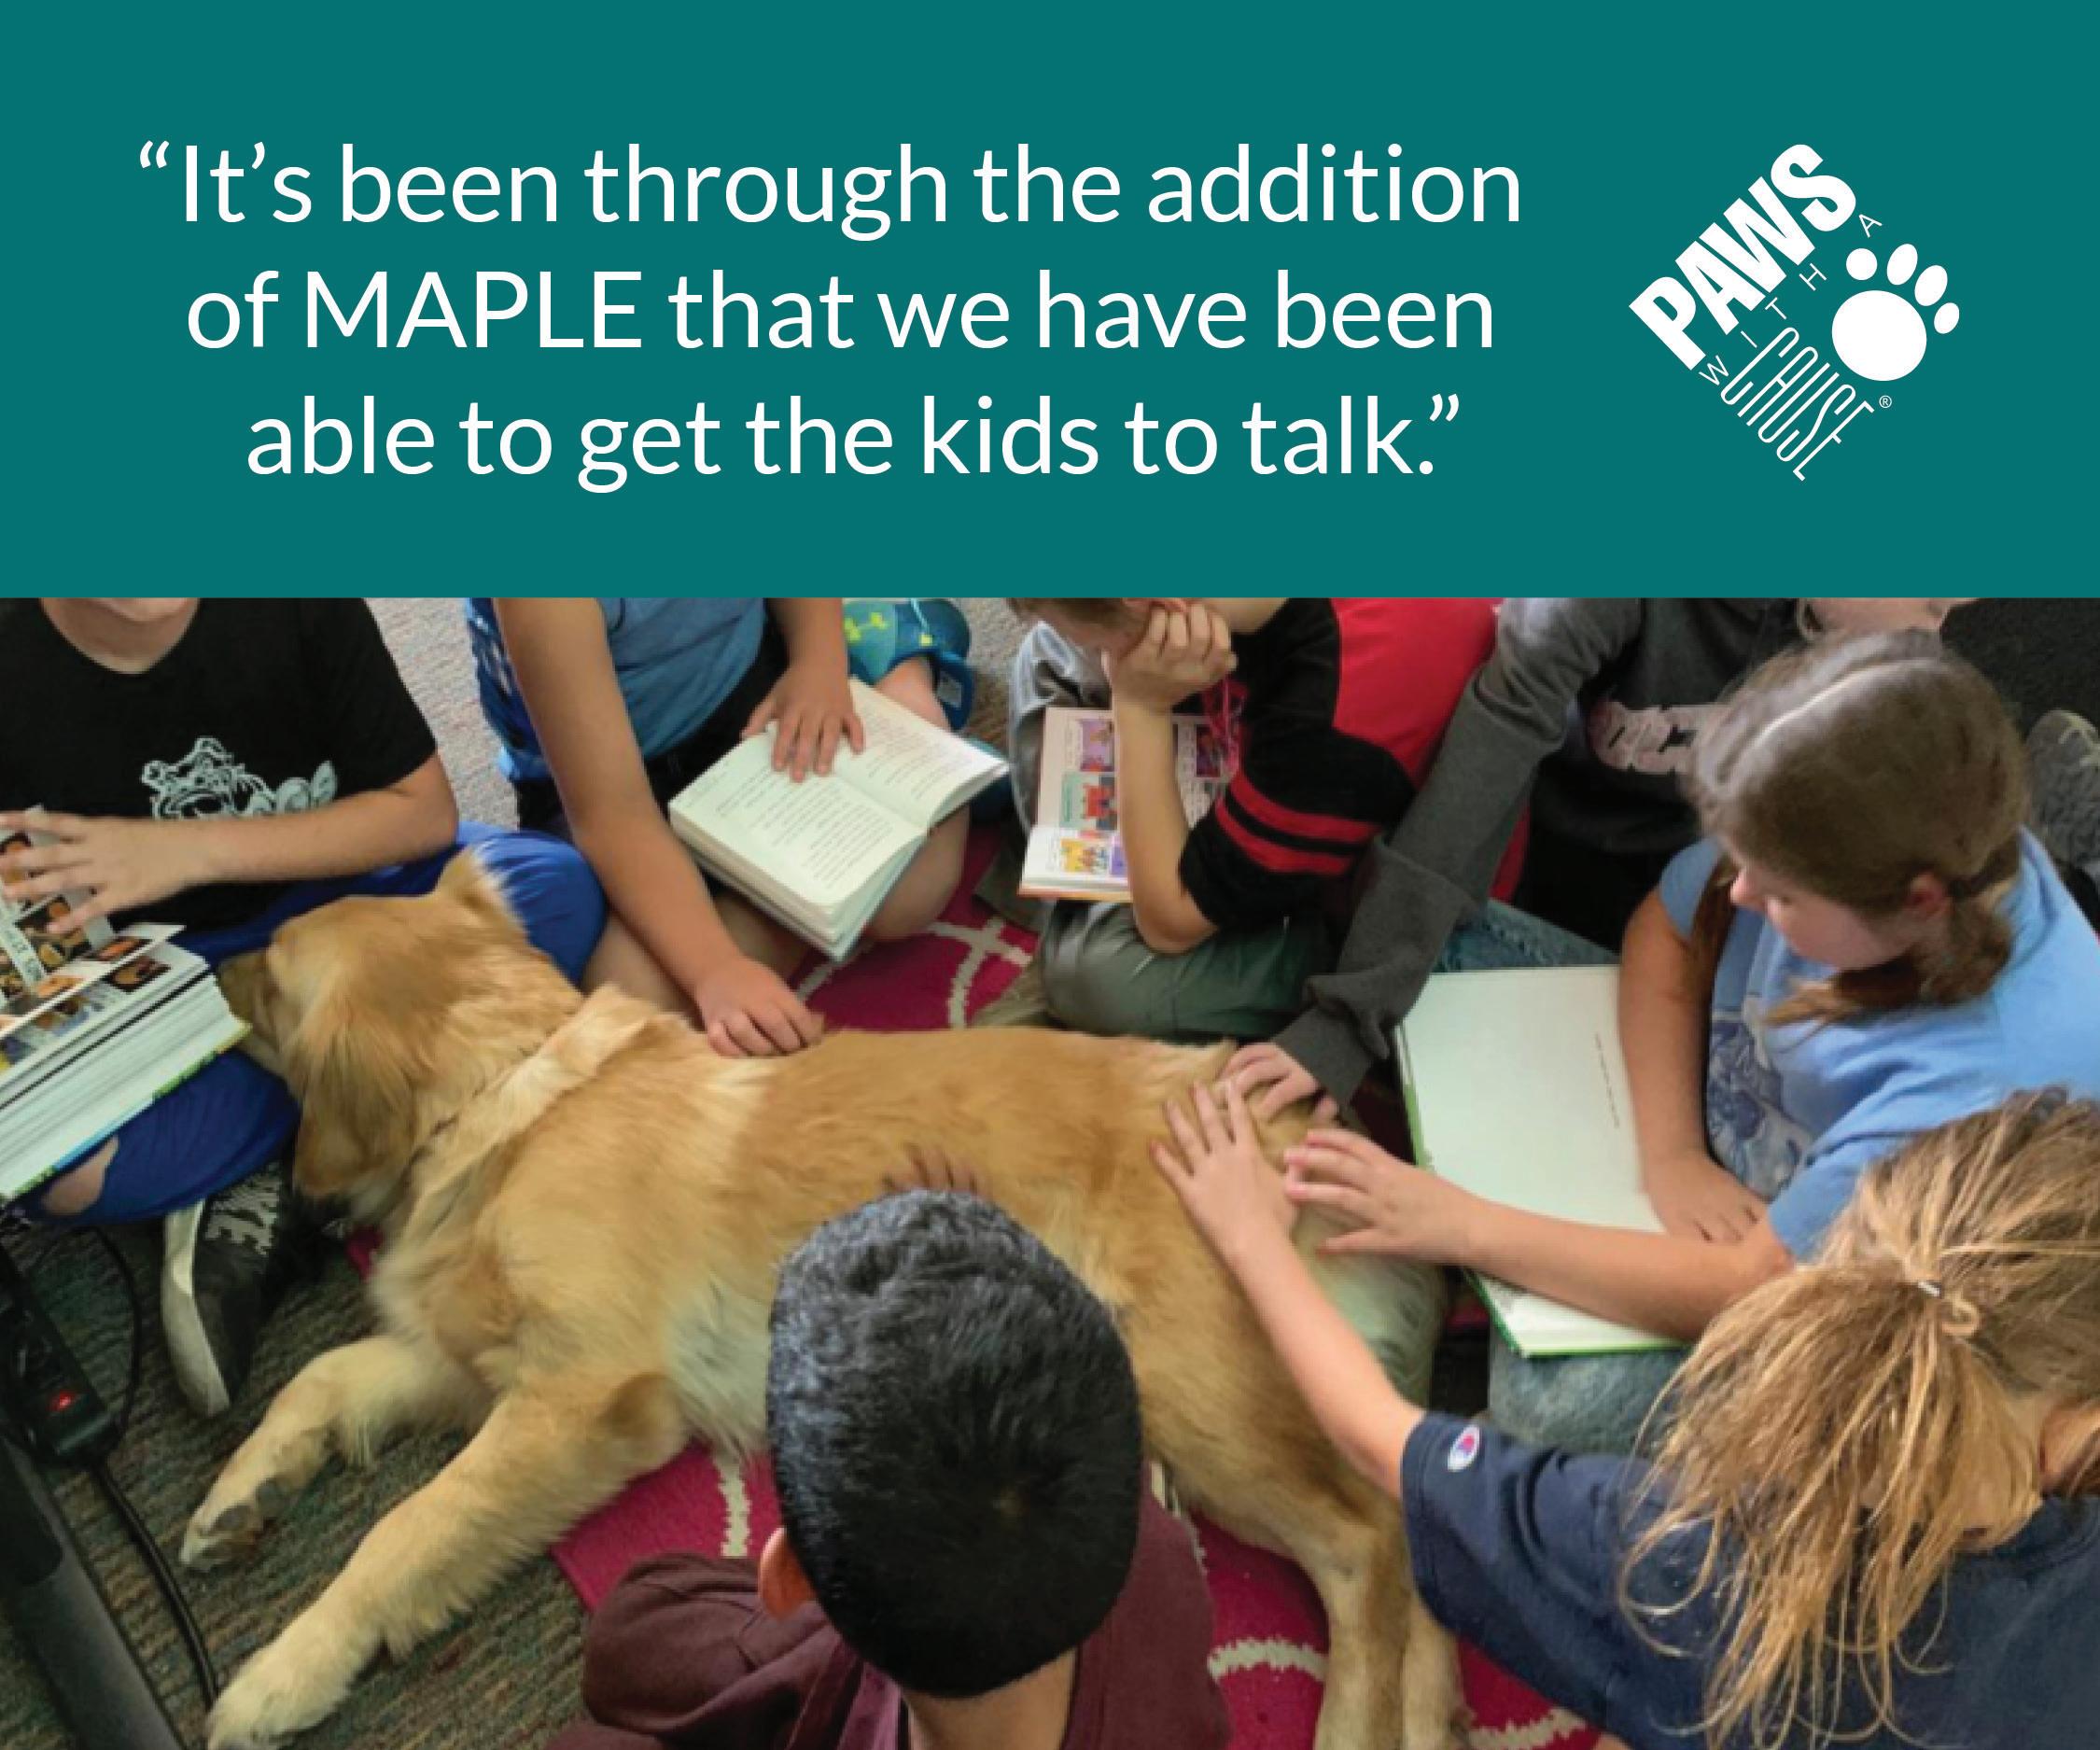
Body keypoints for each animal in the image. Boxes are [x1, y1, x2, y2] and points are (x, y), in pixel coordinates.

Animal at [189, 854, 1458, 1750]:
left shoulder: (585, 1396)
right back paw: (1435, 1717)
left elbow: (407, 1530)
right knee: (1409, 1531)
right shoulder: (472, 1365)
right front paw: (238, 1495)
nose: (203, 967)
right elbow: (321, 1379)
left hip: (1190, 1387)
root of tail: (1290, 1119)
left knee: (1364, 1546)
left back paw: (1355, 1727)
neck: (513, 1091)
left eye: (270, 968)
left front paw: (281, 1673)